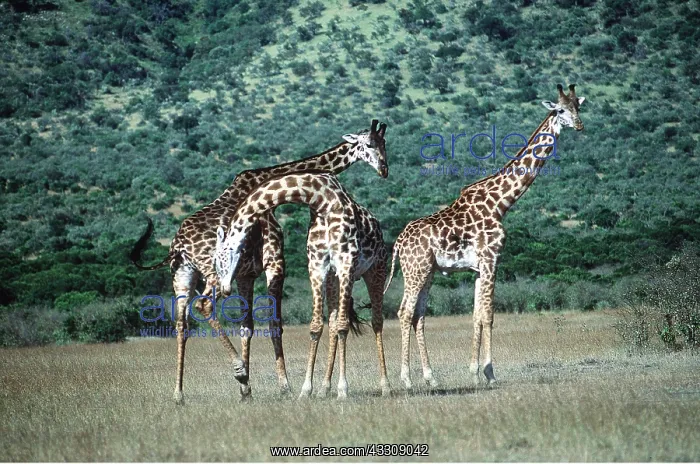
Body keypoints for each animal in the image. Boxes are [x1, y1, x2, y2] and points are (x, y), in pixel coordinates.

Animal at [215, 171, 391, 400]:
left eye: (220, 260)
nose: (224, 289)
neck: (322, 201)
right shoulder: (317, 265)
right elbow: (317, 326)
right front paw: (306, 390)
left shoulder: (347, 263)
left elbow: (344, 326)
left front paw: (343, 389)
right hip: (333, 279)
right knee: (333, 322)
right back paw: (324, 388)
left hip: (376, 270)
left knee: (376, 321)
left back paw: (385, 386)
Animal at [384, 84, 585, 389]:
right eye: (560, 109)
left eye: (578, 107)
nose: (579, 125)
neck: (501, 204)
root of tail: (397, 243)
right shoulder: (492, 258)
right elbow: (489, 315)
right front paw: (490, 373)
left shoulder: (478, 267)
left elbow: (477, 315)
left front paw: (474, 371)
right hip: (415, 270)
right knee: (404, 312)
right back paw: (407, 379)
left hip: (427, 271)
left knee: (418, 315)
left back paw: (431, 377)